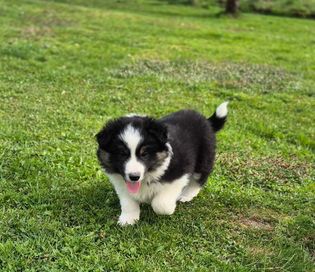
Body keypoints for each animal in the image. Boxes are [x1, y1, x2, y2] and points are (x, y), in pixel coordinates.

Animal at [96, 102, 230, 225]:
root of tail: (206, 120)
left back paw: (186, 196)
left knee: (198, 180)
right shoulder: (121, 185)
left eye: (144, 154)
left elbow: (160, 204)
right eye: (122, 154)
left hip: (204, 158)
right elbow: (128, 202)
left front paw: (170, 207)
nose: (134, 177)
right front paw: (128, 219)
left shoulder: (179, 174)